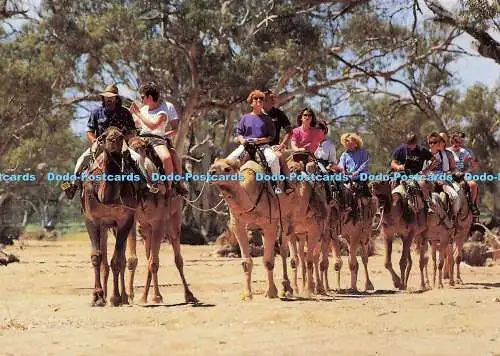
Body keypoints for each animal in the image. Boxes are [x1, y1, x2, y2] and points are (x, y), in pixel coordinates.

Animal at [81, 126, 138, 308]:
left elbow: (117, 260)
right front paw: (97, 297)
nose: (113, 140)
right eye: (104, 136)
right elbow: (96, 257)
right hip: (106, 226)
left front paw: (115, 297)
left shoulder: (125, 221)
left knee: (122, 258)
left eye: (121, 136)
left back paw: (123, 297)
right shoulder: (91, 220)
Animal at [126, 136, 198, 304]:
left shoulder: (159, 222)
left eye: (141, 149)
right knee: (150, 256)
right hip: (146, 228)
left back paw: (188, 295)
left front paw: (155, 296)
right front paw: (131, 296)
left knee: (177, 257)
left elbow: (154, 262)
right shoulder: (133, 221)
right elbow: (133, 259)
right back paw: (146, 296)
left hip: (174, 219)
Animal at [208, 157, 294, 298]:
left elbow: (268, 261)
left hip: (286, 219)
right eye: (212, 165)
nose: (211, 172)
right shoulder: (238, 226)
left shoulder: (270, 224)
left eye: (227, 169)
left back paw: (287, 288)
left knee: (283, 250)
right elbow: (246, 262)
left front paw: (271, 293)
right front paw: (247, 294)